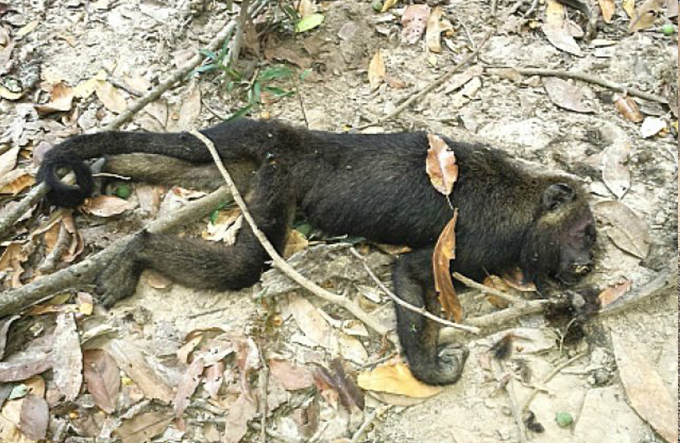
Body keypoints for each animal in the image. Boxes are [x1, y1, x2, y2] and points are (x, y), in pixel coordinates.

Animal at [37, 118, 597, 385]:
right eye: (585, 232)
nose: (590, 261)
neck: (526, 204)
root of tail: (289, 138)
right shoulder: (483, 242)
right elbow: (410, 271)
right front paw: (429, 369)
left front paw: (578, 303)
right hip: (274, 165)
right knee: (244, 262)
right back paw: (138, 249)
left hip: (253, 165)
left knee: (196, 165)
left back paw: (121, 165)